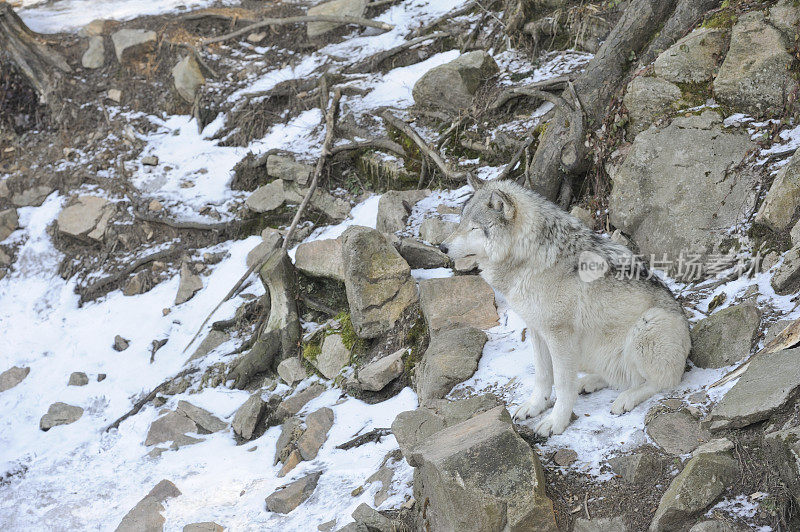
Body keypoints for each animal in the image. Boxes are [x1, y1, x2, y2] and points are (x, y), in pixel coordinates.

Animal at [438, 177, 688, 434]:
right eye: (461, 223)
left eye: (474, 228)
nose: (442, 247)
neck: (529, 257)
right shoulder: (537, 330)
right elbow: (542, 376)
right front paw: (534, 406)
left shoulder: (559, 335)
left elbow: (562, 384)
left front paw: (555, 422)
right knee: (619, 377)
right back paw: (588, 382)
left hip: (648, 325)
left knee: (661, 381)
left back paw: (625, 398)